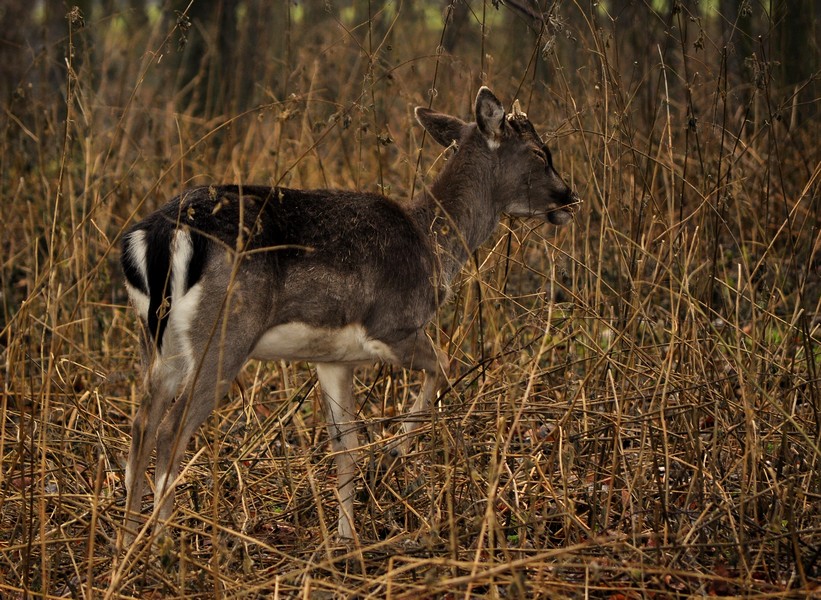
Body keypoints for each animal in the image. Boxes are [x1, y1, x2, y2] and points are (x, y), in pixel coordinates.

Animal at [120, 88, 576, 544]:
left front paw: (345, 538)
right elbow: (443, 365)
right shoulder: (392, 325)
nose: (570, 197)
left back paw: (128, 538)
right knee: (170, 429)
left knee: (141, 426)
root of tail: (156, 235)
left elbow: (345, 445)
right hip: (223, 334)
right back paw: (162, 541)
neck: (432, 249)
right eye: (539, 152)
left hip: (158, 343)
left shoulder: (332, 359)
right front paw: (394, 452)